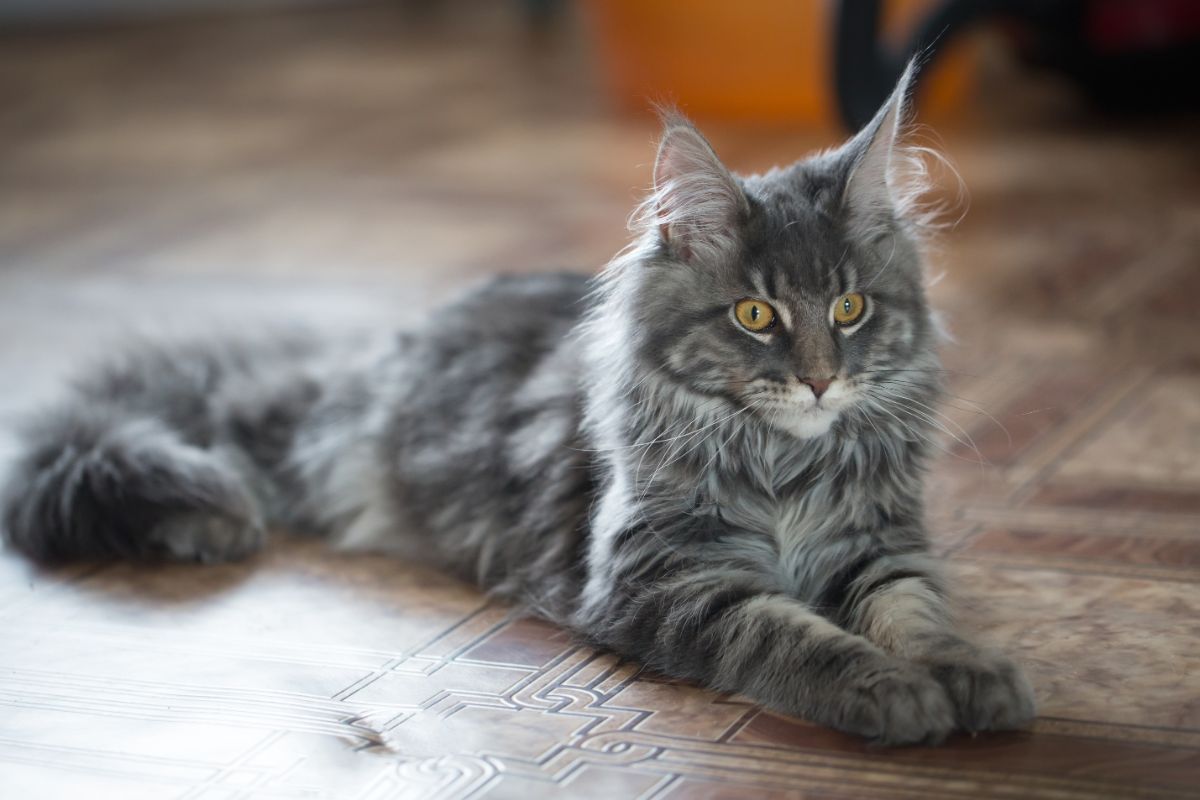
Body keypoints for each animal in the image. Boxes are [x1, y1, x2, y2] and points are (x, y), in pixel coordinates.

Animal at [0, 65, 1032, 748]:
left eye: (851, 310)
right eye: (756, 316)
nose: (821, 380)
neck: (789, 465)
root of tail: (388, 346)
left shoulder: (879, 544)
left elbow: (916, 614)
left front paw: (970, 676)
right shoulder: (669, 579)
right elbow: (795, 635)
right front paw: (892, 694)